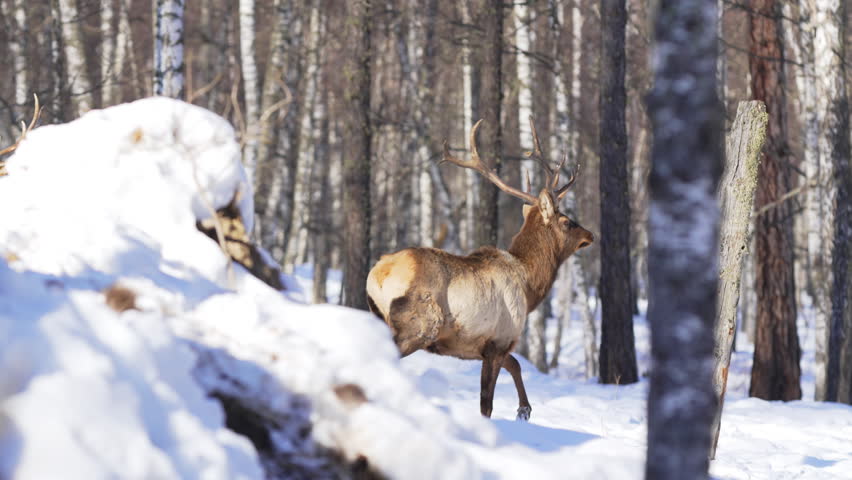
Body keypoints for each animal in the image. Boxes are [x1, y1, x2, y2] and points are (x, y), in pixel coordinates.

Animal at [366, 117, 594, 421]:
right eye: (567, 221)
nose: (590, 235)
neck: (529, 288)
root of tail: (378, 274)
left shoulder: (480, 346)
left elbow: (516, 364)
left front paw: (524, 408)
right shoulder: (499, 339)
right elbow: (487, 403)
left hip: (378, 315)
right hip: (419, 324)